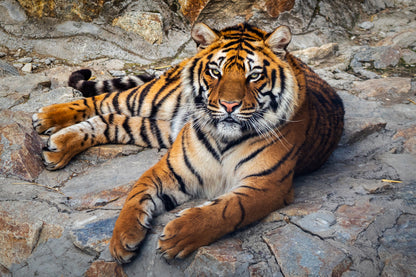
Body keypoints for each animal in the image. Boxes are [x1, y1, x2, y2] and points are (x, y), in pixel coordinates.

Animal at [31, 22, 344, 262]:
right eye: (216, 72)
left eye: (254, 75)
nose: (229, 106)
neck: (224, 139)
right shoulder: (169, 169)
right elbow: (134, 196)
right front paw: (121, 240)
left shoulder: (266, 185)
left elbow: (226, 210)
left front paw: (178, 237)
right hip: (148, 98)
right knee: (102, 101)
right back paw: (46, 117)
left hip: (156, 128)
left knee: (108, 119)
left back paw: (58, 146)